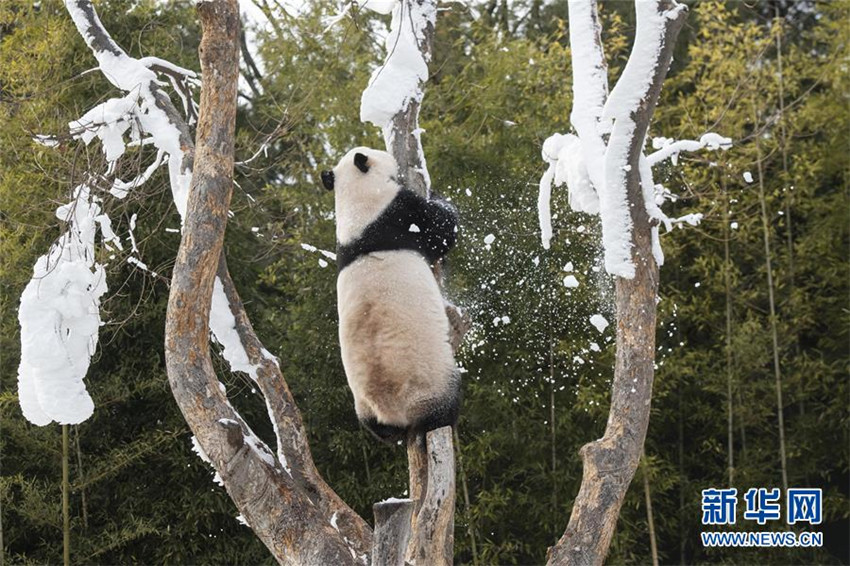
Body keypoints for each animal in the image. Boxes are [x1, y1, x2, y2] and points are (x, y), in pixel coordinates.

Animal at [321, 147, 461, 443]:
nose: (393, 160)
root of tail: (393, 412)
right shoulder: (397, 213)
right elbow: (441, 230)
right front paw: (437, 195)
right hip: (431, 381)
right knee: (444, 408)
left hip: (364, 408)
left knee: (378, 431)